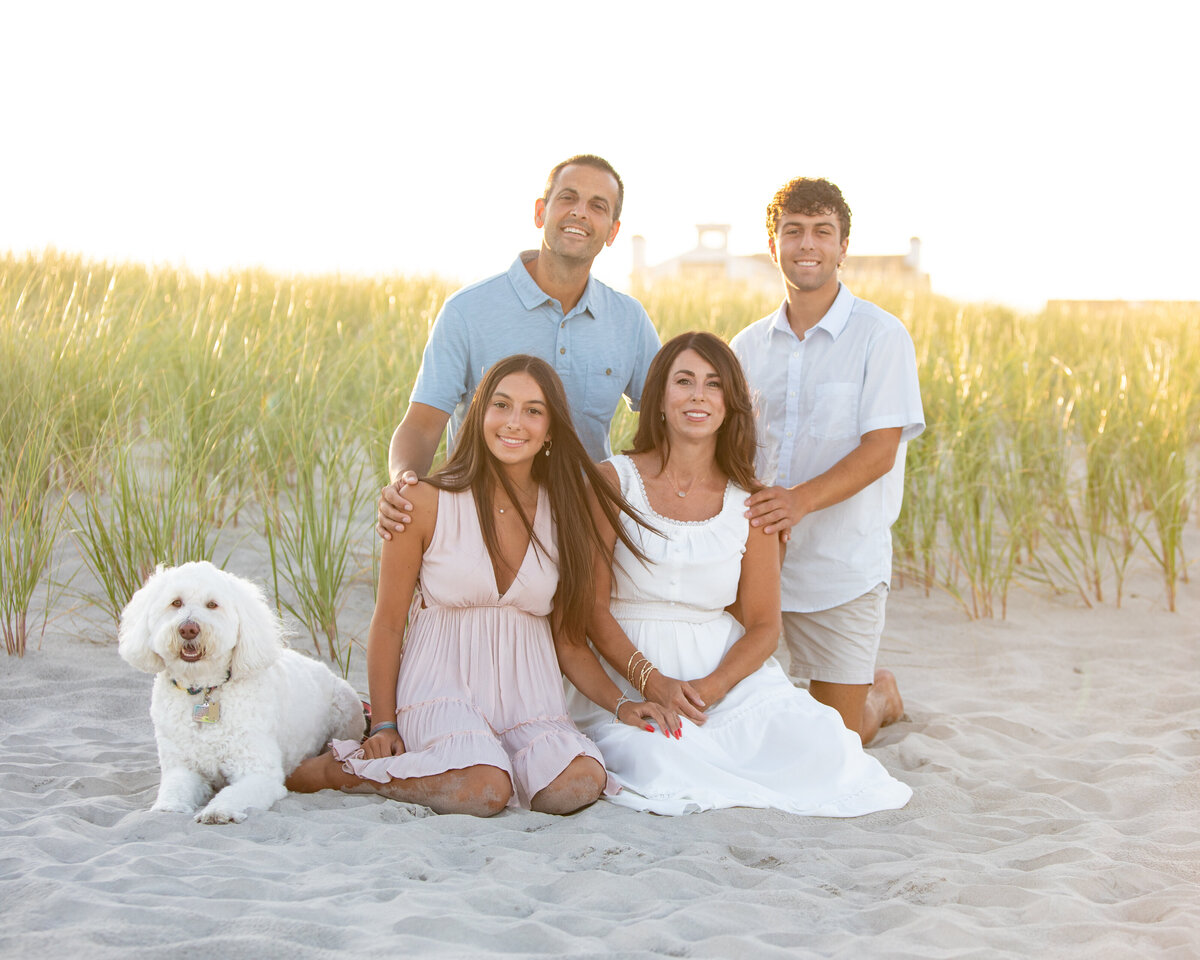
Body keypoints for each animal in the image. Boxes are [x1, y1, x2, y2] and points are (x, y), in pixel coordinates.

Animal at [122, 561, 367, 825]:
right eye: (176, 602)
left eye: (212, 604)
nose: (188, 629)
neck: (204, 689)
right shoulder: (182, 767)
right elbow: (173, 788)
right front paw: (167, 808)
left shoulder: (258, 773)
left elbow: (235, 793)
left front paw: (219, 810)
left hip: (347, 708)